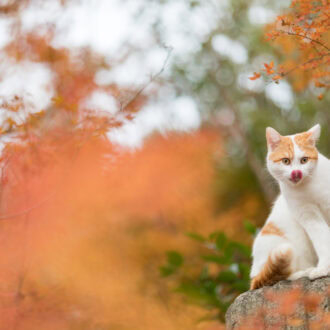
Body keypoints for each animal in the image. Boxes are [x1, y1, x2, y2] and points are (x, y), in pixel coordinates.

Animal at [250, 125, 330, 290]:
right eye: (285, 161)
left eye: (304, 160)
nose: (296, 172)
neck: (307, 187)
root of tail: (253, 275)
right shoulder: (308, 216)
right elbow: (323, 240)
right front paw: (324, 267)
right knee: (278, 277)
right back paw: (305, 271)